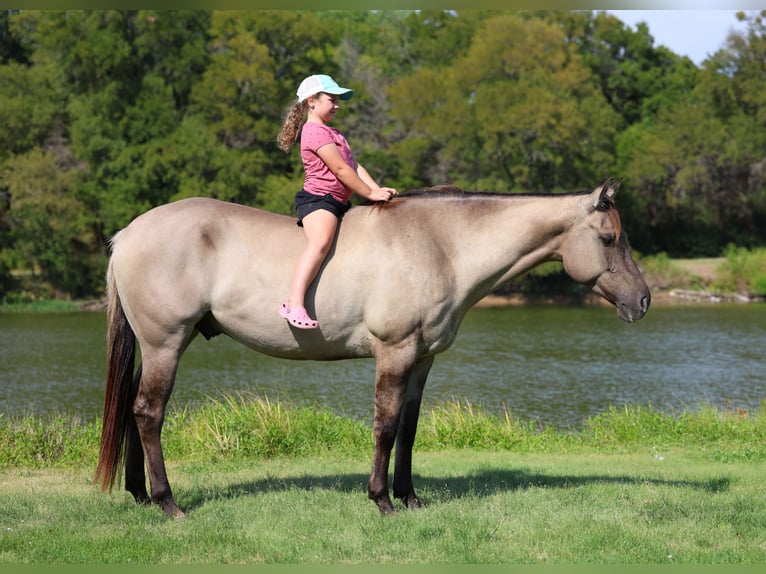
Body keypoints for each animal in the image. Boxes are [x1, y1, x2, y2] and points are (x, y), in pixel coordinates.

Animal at [94, 179, 650, 518]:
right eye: (609, 237)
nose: (642, 300)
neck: (441, 244)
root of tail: (127, 233)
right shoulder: (394, 352)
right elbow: (385, 425)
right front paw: (382, 499)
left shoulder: (423, 359)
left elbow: (408, 428)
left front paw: (411, 498)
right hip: (166, 344)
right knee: (148, 413)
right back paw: (168, 503)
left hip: (160, 345)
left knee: (133, 410)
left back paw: (140, 495)